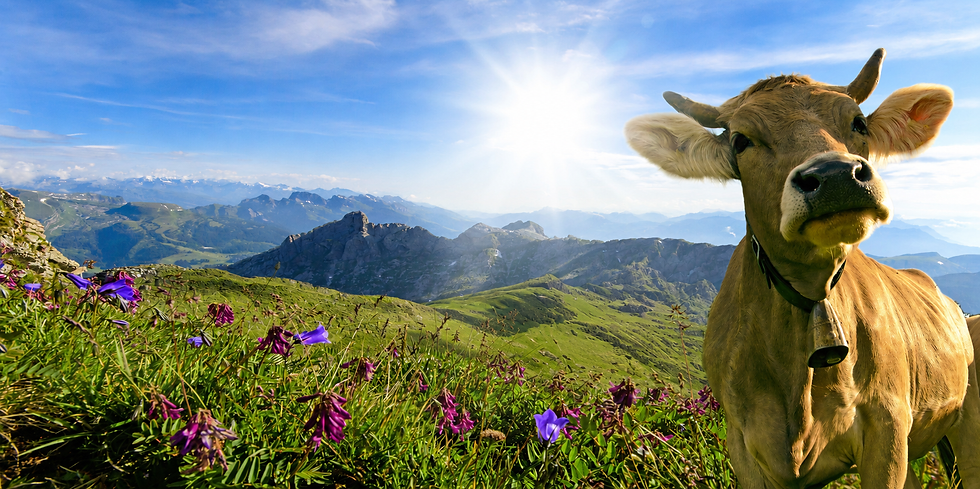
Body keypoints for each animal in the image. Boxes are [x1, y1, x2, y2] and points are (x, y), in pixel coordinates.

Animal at [624, 48, 980, 488]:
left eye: (859, 122)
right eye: (741, 141)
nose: (836, 176)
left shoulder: (888, 428)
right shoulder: (743, 445)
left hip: (969, 429)